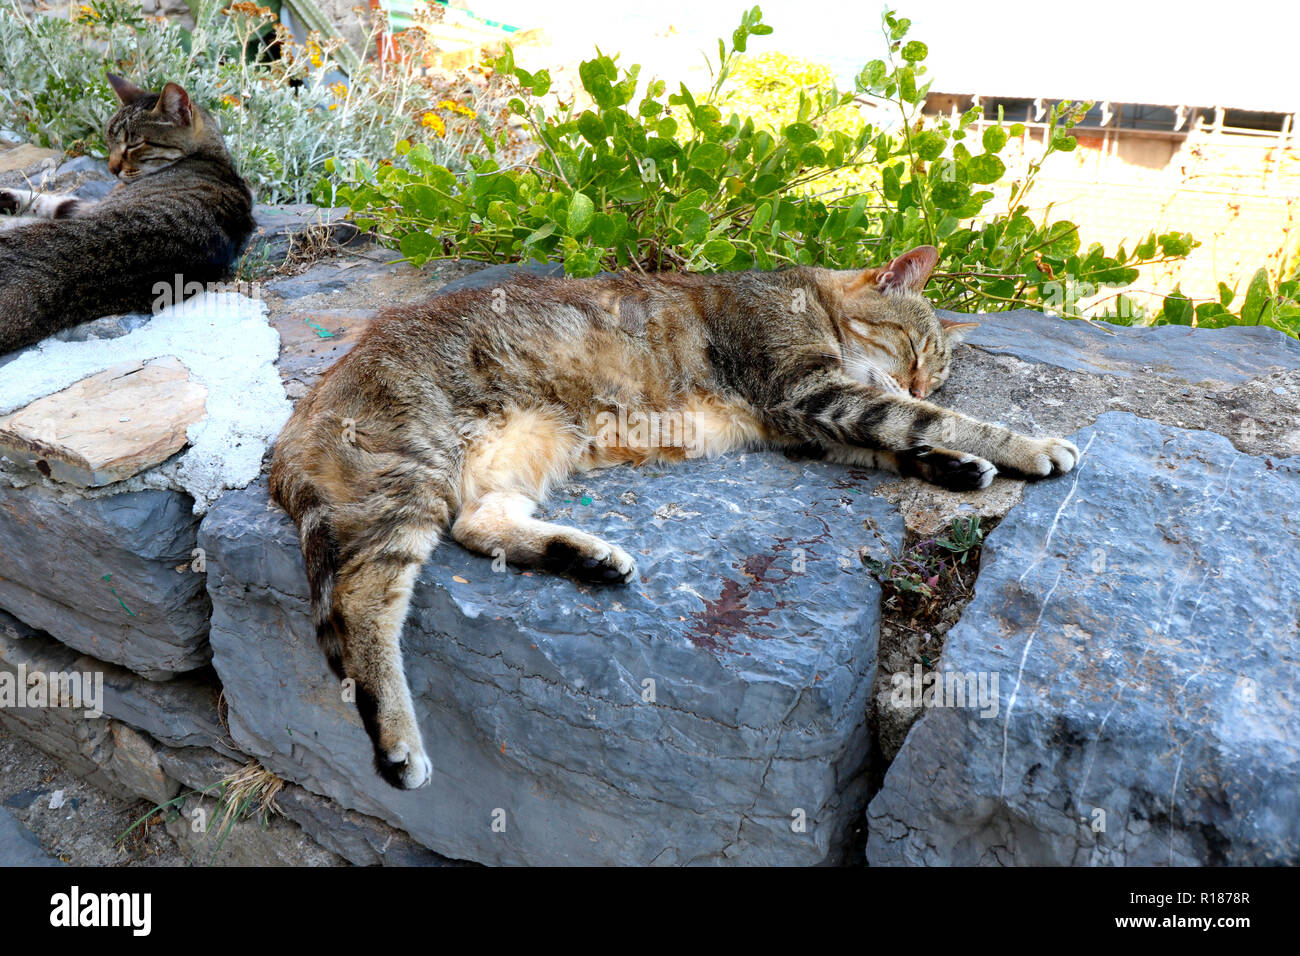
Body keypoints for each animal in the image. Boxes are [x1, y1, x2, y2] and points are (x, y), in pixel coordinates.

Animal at [0, 74, 252, 356]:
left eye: (134, 144)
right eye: (109, 143)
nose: (111, 168)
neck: (213, 157)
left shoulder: (92, 204)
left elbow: (50, 202)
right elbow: (53, 201)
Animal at [269, 243, 1081, 790]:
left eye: (934, 369)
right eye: (914, 350)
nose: (916, 379)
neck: (807, 298)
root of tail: (300, 418)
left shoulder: (811, 424)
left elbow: (908, 438)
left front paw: (957, 464)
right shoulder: (812, 395)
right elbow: (931, 423)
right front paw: (1029, 445)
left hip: (524, 451)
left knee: (477, 526)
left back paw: (587, 557)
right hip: (414, 476)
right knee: (365, 602)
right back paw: (398, 740)